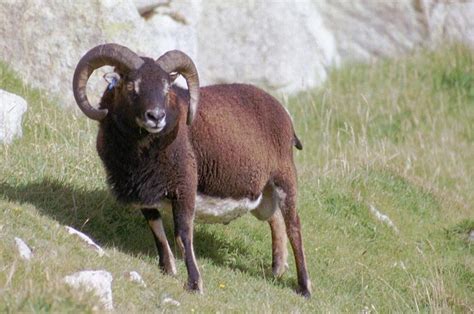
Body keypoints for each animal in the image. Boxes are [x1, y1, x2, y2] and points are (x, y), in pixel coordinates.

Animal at [72, 43, 312, 296]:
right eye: (130, 85)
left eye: (166, 88)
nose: (156, 116)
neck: (141, 152)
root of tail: (284, 115)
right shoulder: (144, 193)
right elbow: (156, 230)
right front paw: (167, 269)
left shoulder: (184, 185)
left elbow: (183, 233)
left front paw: (195, 284)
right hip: (261, 193)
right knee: (275, 219)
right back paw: (277, 269)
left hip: (285, 177)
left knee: (294, 226)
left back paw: (304, 287)